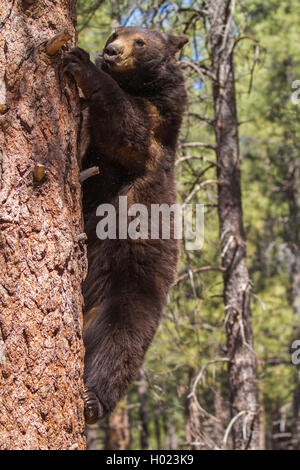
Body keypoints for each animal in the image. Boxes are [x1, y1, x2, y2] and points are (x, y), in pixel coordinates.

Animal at [63, 25, 188, 424]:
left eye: (141, 41)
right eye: (116, 31)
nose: (112, 51)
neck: (137, 84)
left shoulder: (157, 125)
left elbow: (129, 129)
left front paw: (81, 62)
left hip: (132, 288)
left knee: (119, 344)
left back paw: (93, 401)